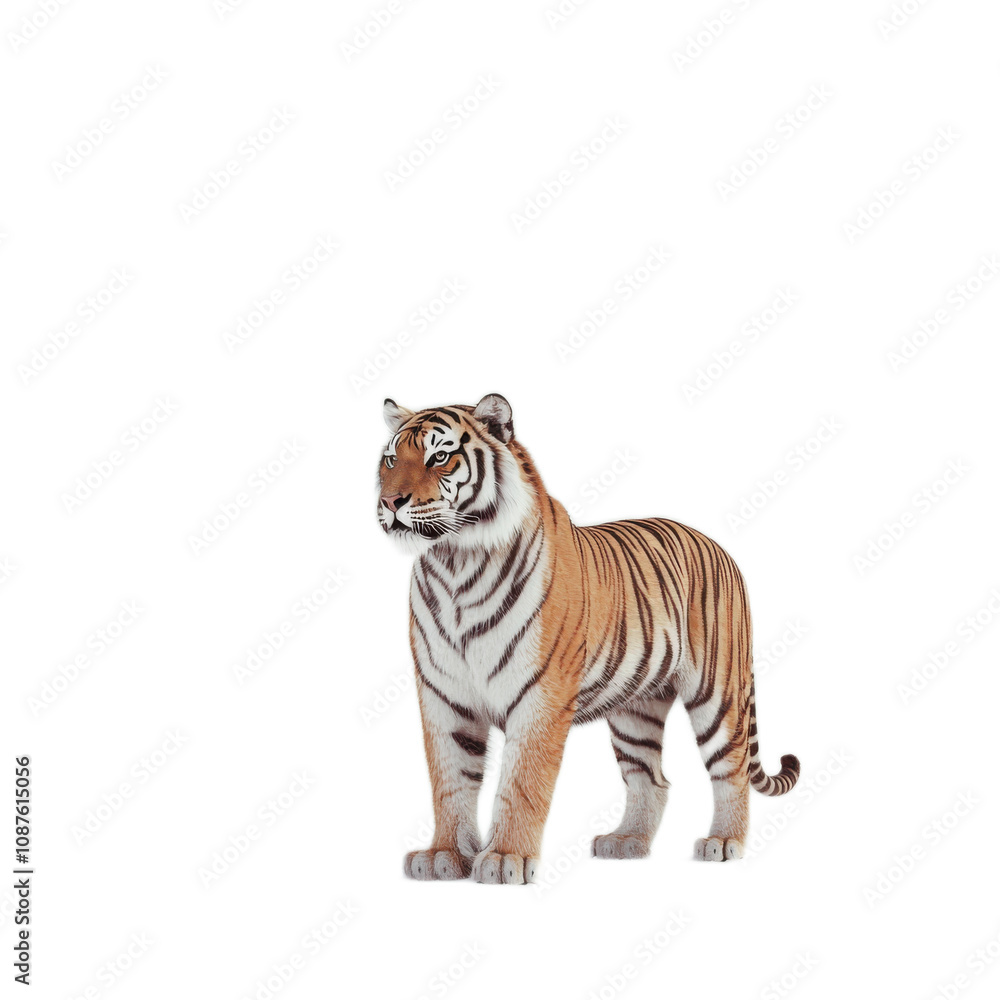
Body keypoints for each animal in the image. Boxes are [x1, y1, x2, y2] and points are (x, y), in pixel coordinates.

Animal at [377, 393, 800, 885]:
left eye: (439, 457)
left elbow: (521, 782)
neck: (455, 563)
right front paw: (445, 855)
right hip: (637, 709)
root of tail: (721, 549)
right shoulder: (444, 695)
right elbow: (450, 780)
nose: (389, 502)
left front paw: (504, 860)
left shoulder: (541, 693)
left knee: (731, 771)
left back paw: (723, 842)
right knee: (652, 779)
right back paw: (627, 843)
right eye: (390, 459)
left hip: (718, 691)